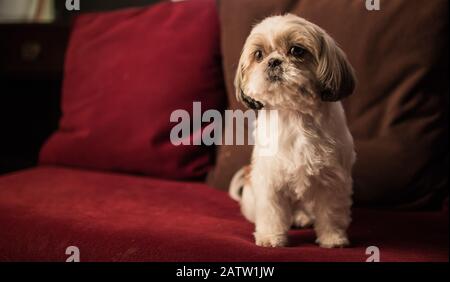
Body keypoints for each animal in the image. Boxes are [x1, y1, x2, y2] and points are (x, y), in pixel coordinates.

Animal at [230, 14, 356, 248]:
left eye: (297, 51)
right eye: (259, 55)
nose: (273, 61)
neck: (295, 114)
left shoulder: (332, 181)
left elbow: (331, 213)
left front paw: (333, 238)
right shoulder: (270, 181)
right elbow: (271, 213)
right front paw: (270, 238)